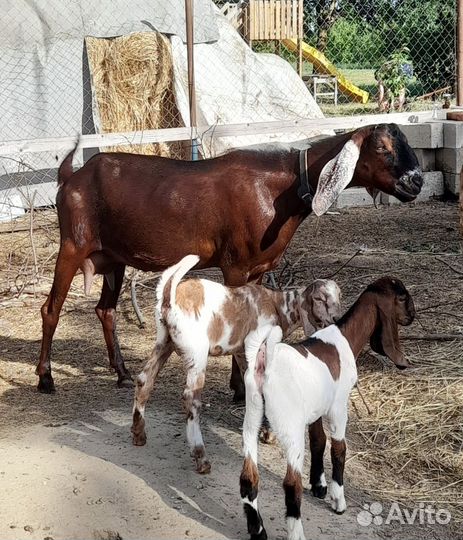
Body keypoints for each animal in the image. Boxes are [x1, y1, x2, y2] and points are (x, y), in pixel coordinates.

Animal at [37, 123, 424, 392]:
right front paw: (240, 388)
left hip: (113, 257)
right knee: (51, 309)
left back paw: (121, 373)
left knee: (106, 310)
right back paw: (45, 378)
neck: (282, 188)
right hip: (73, 244)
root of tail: (70, 177)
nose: (416, 182)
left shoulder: (258, 268)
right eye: (383, 148)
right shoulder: (236, 265)